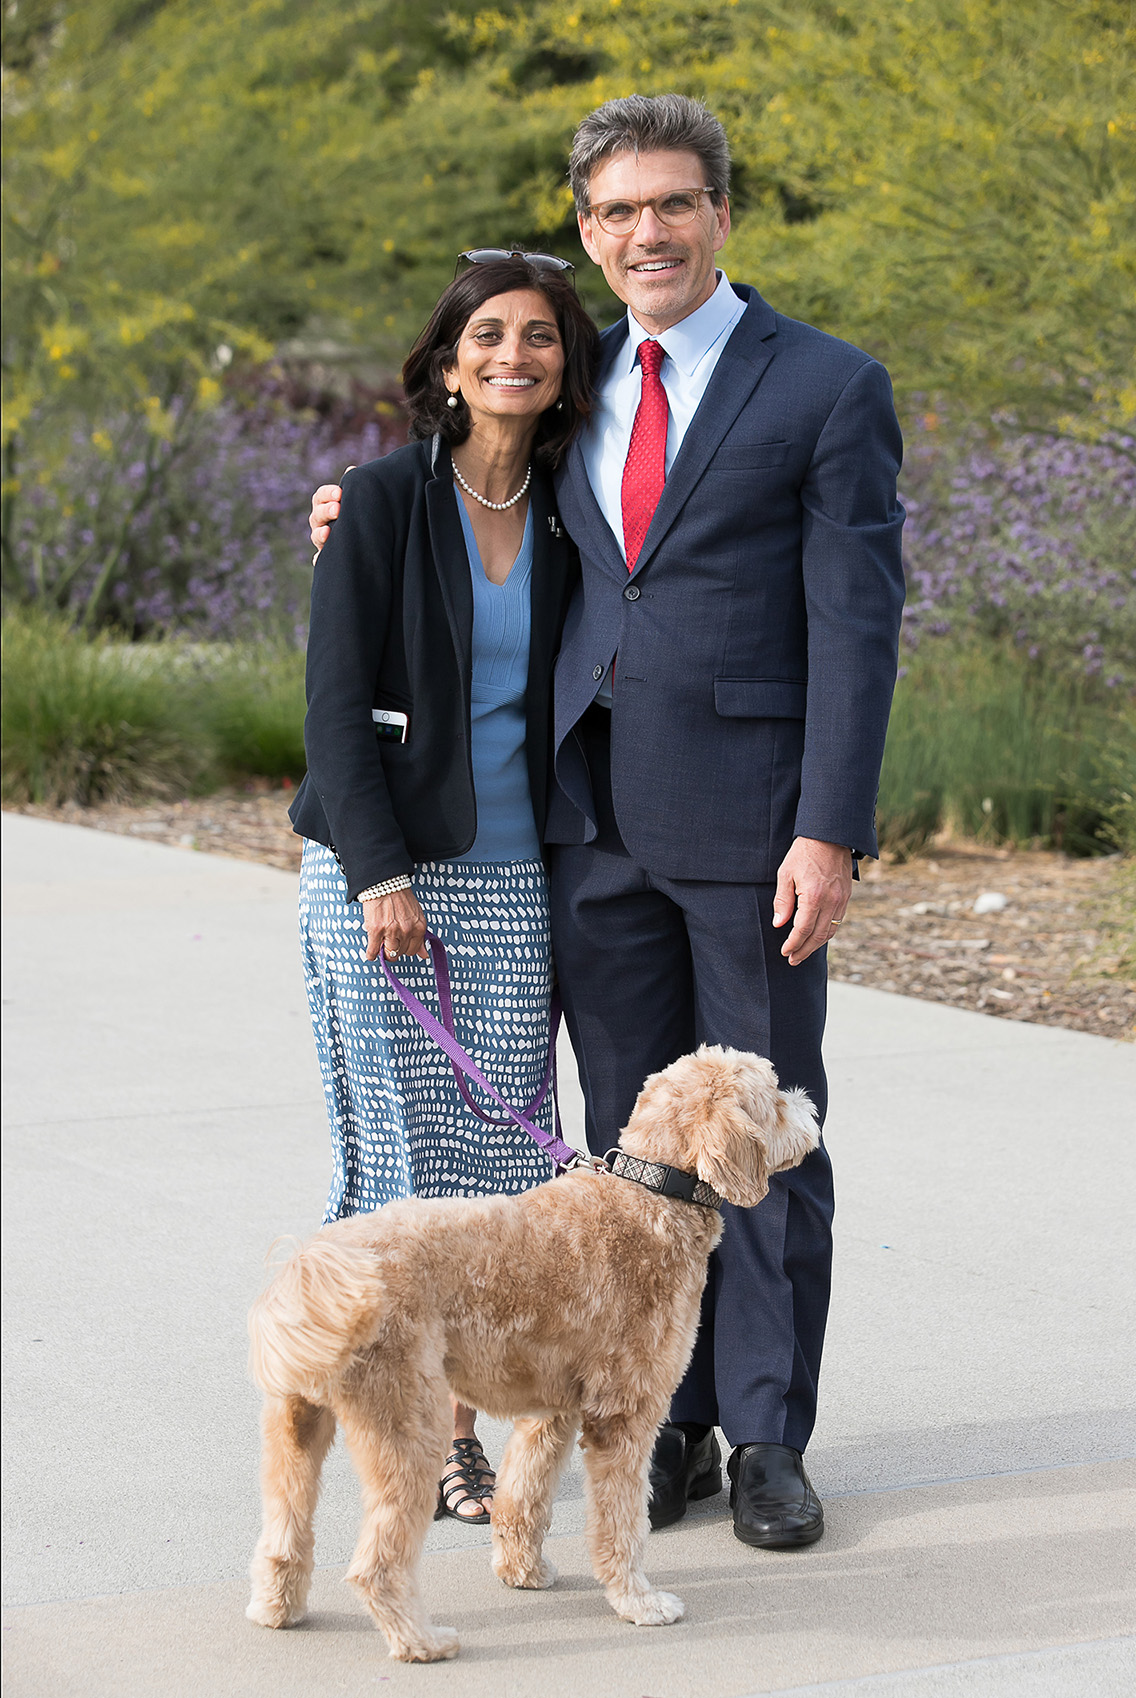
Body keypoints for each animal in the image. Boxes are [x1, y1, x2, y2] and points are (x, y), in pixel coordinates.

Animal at [246, 1039, 815, 1664]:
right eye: (775, 1098)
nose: (811, 1112)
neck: (650, 1190)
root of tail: (312, 1272)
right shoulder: (625, 1413)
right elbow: (621, 1524)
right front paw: (637, 1602)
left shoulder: (552, 1410)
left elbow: (524, 1496)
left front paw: (522, 1573)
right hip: (407, 1428)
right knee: (375, 1565)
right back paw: (421, 1641)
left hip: (294, 1431)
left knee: (283, 1533)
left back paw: (277, 1610)